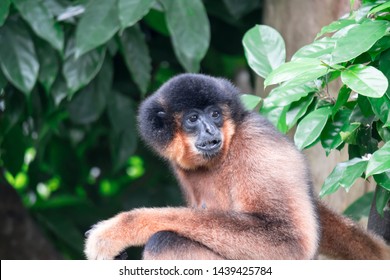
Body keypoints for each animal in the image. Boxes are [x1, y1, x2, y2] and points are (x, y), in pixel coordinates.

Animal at [83, 72, 390, 260]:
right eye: (193, 119)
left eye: (215, 114)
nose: (210, 130)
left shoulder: (259, 146)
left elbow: (288, 242)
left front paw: (118, 230)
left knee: (165, 242)